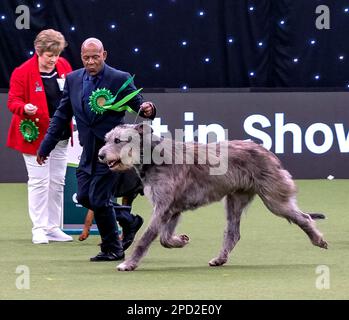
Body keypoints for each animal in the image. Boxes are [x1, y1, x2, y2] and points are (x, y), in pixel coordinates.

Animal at [97, 124, 326, 272]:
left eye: (118, 140)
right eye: (106, 139)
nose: (100, 155)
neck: (154, 157)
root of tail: (267, 151)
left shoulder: (163, 207)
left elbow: (146, 238)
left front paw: (129, 264)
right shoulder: (172, 209)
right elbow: (164, 238)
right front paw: (179, 241)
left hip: (274, 198)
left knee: (303, 217)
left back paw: (318, 239)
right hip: (235, 199)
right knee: (233, 233)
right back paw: (220, 258)